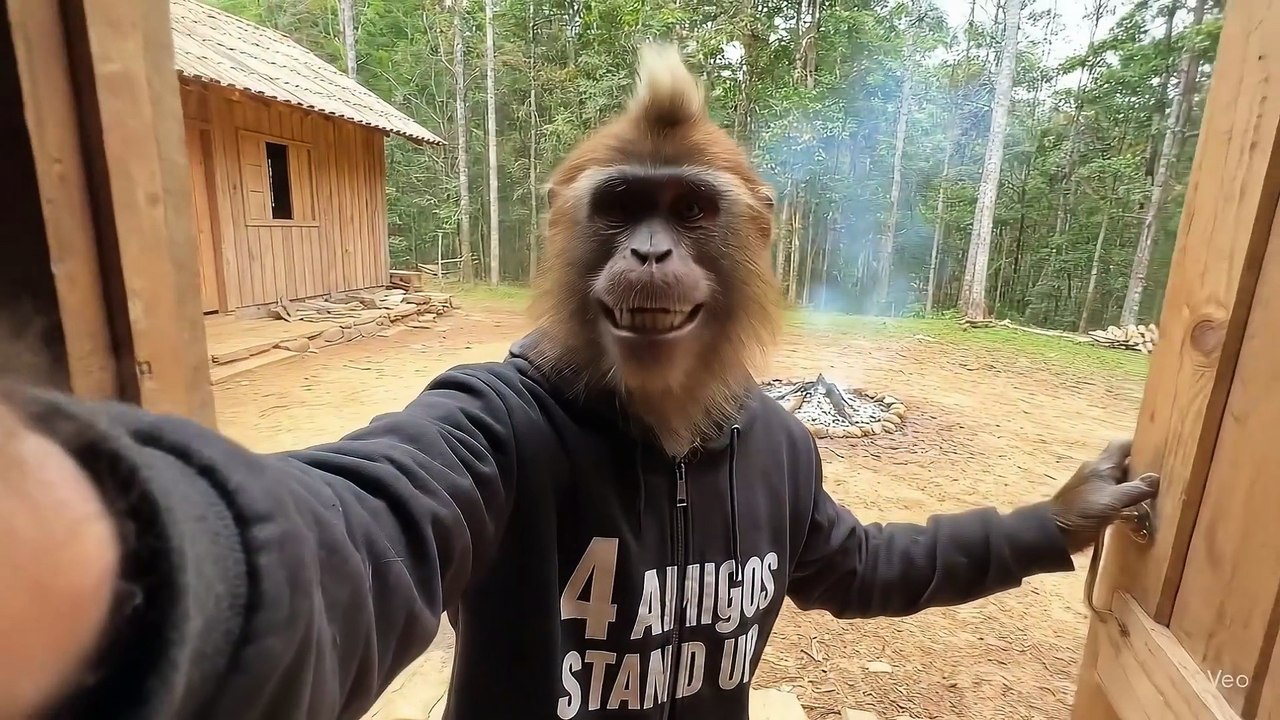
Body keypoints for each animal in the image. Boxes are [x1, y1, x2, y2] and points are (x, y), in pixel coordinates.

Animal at [0, 42, 1157, 720]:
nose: (647, 252)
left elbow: (859, 560)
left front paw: (1073, 511)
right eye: (622, 206)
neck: (667, 435)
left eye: (686, 210)